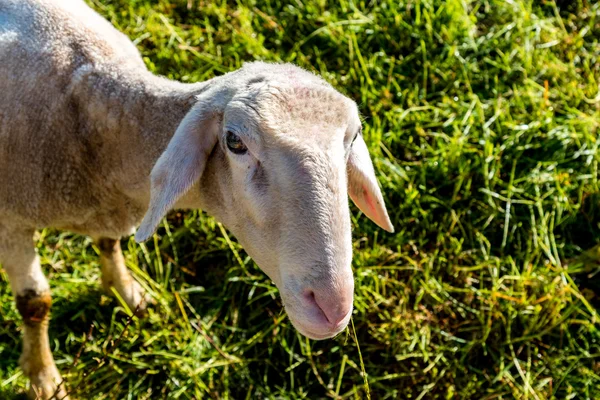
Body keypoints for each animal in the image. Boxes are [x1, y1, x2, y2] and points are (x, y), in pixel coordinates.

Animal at [0, 0, 396, 396]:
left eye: (353, 136)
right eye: (234, 141)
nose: (332, 306)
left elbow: (109, 244)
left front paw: (127, 292)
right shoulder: (10, 222)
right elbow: (35, 303)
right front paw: (43, 379)